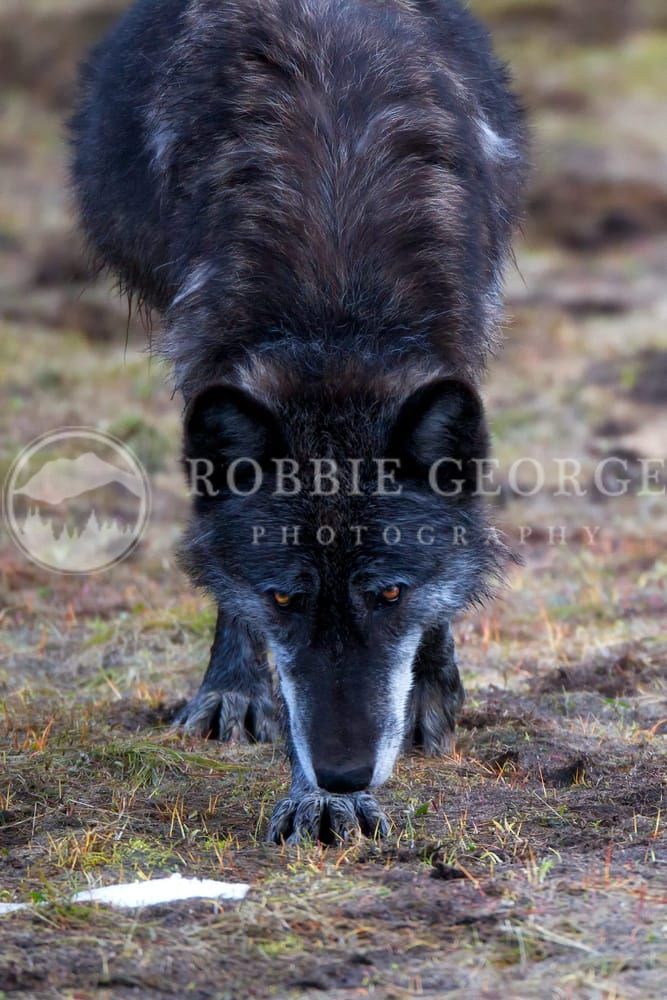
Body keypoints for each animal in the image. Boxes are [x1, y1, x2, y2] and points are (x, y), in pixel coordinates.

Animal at [71, 0, 526, 843]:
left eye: (388, 594)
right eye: (285, 598)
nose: (344, 773)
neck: (334, 309)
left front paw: (427, 690)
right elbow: (277, 665)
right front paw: (318, 797)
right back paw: (233, 690)